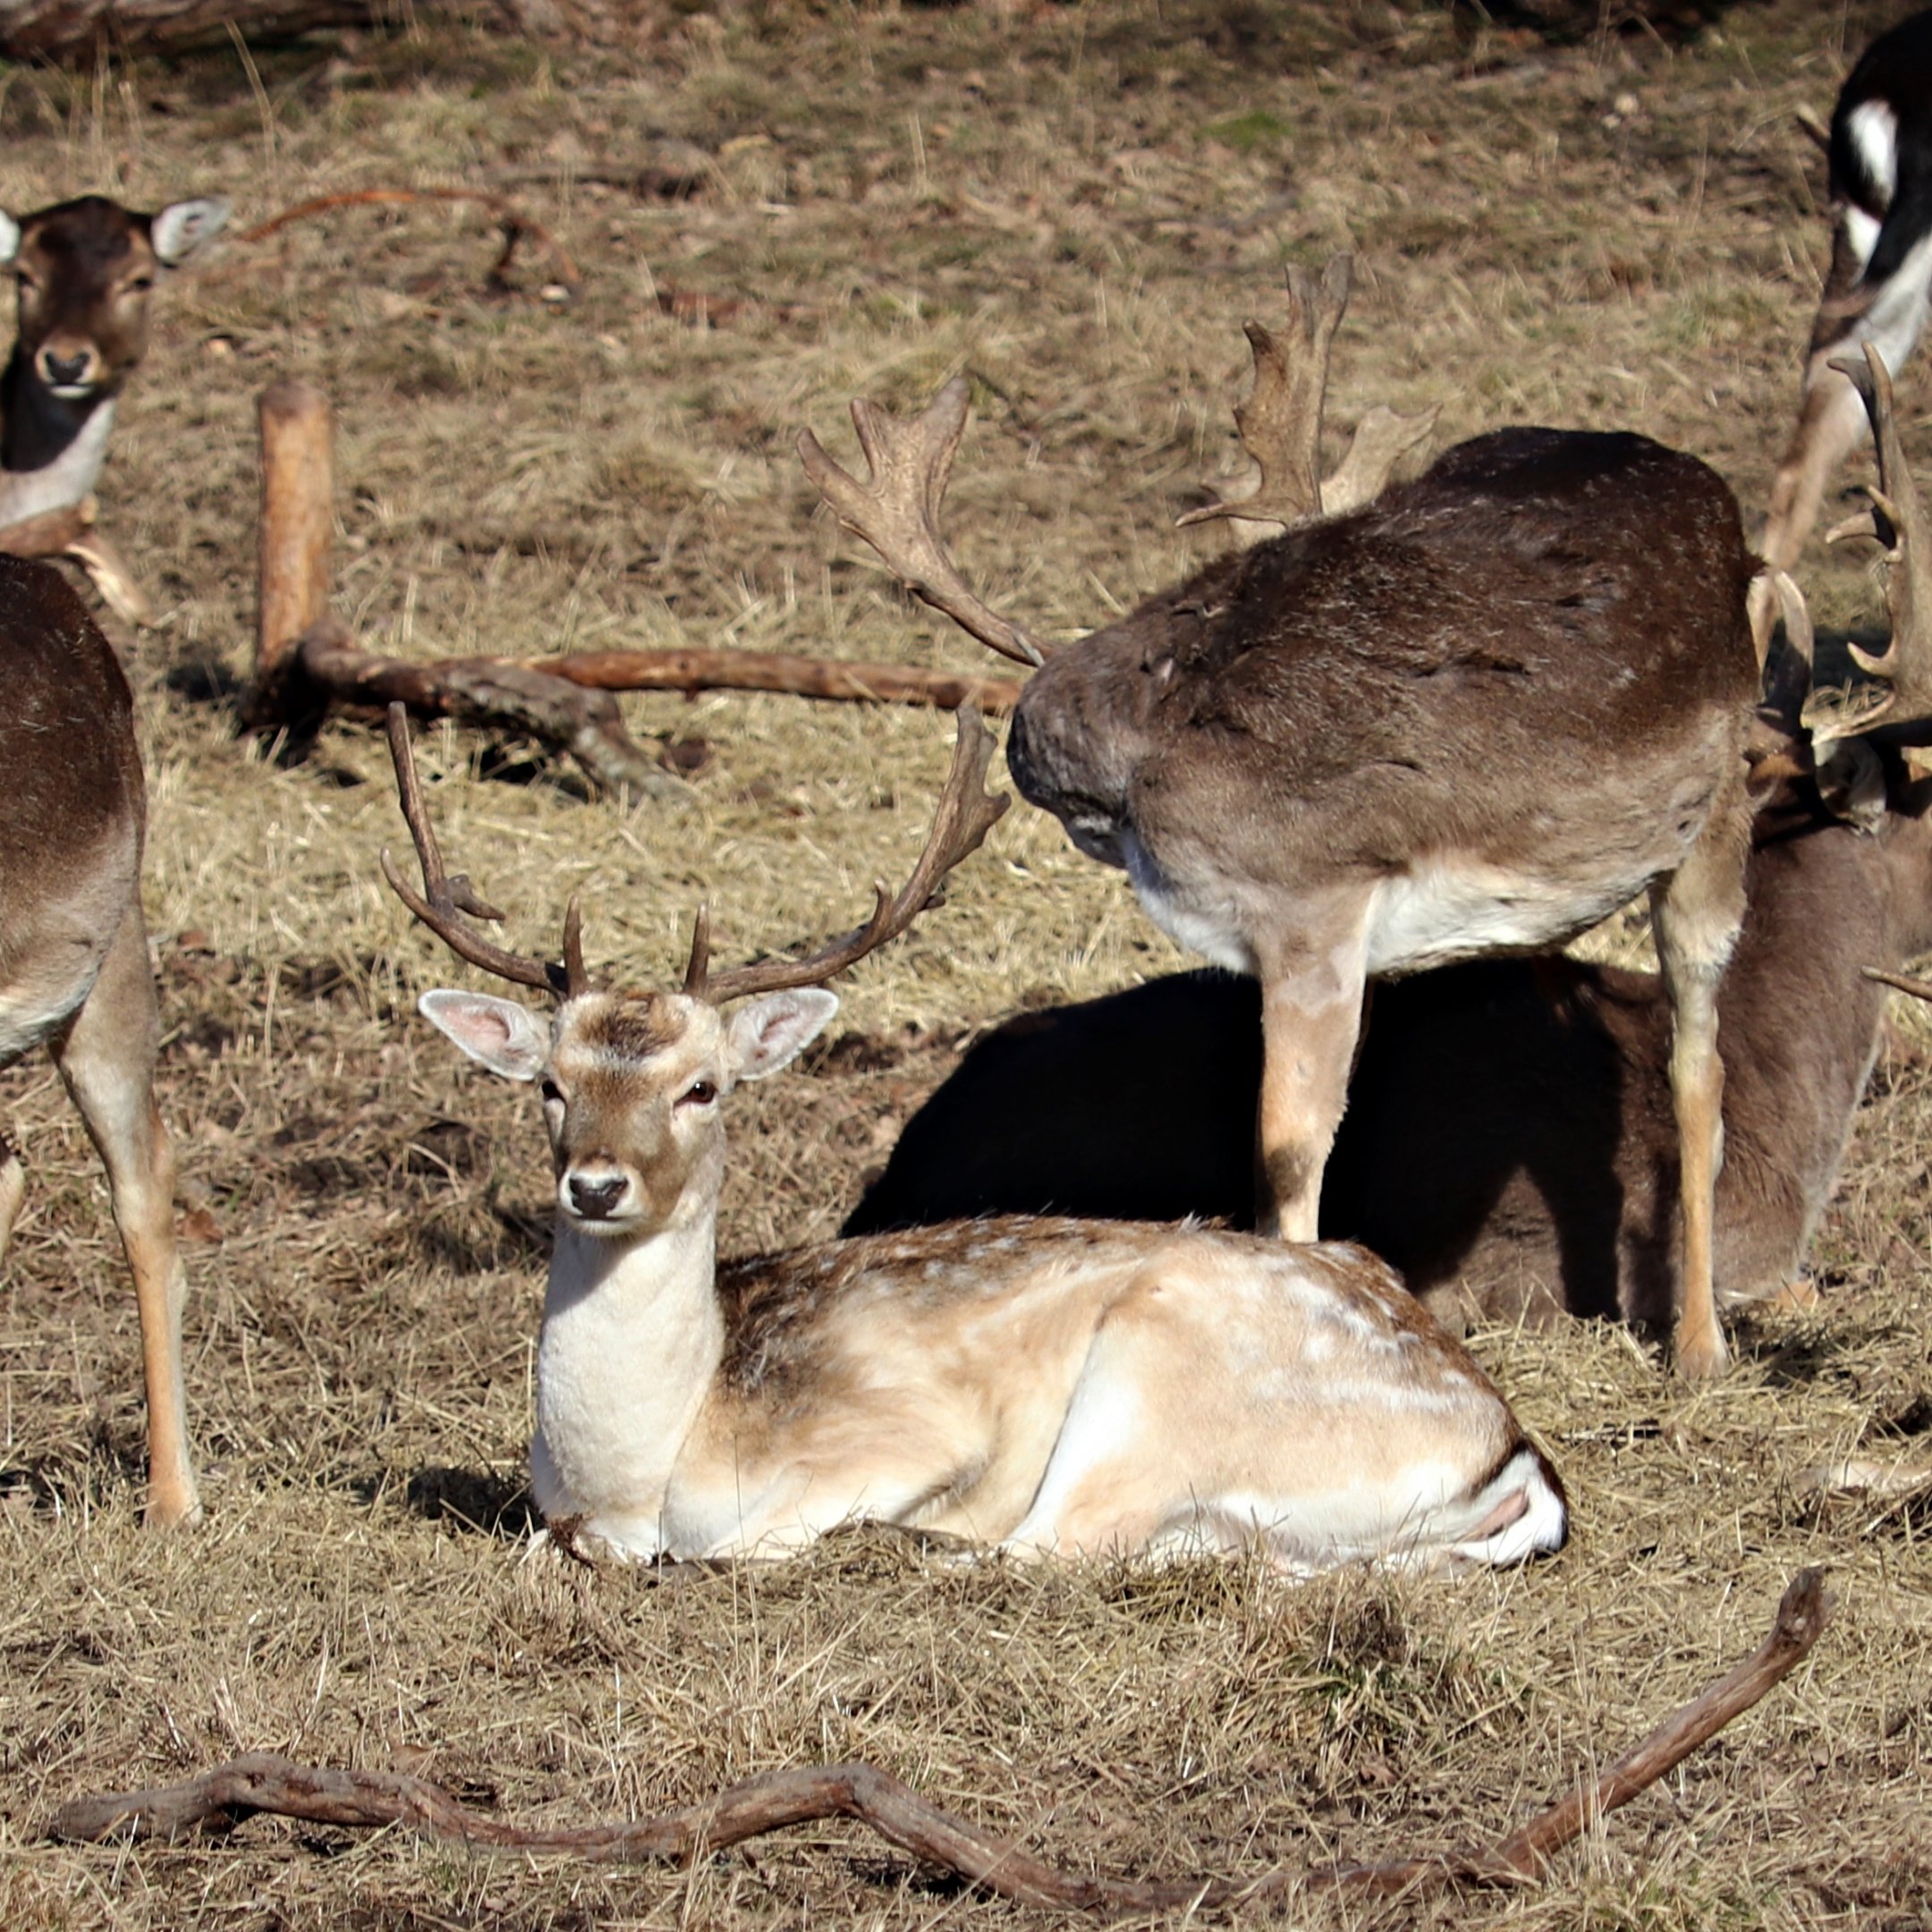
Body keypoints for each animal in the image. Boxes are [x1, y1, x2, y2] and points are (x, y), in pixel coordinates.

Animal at [385, 704, 1567, 1574]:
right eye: (549, 1084)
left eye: (702, 1088)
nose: (596, 1184)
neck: (640, 1465)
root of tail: (1512, 1448)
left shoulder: (894, 1438)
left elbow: (738, 1544)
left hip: (1153, 1381)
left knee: (1047, 1547)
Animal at [798, 254, 1761, 1379]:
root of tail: (1734, 523)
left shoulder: (1312, 904)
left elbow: (1287, 1160)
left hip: (1721, 808)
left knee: (1699, 1058)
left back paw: (1700, 1346)